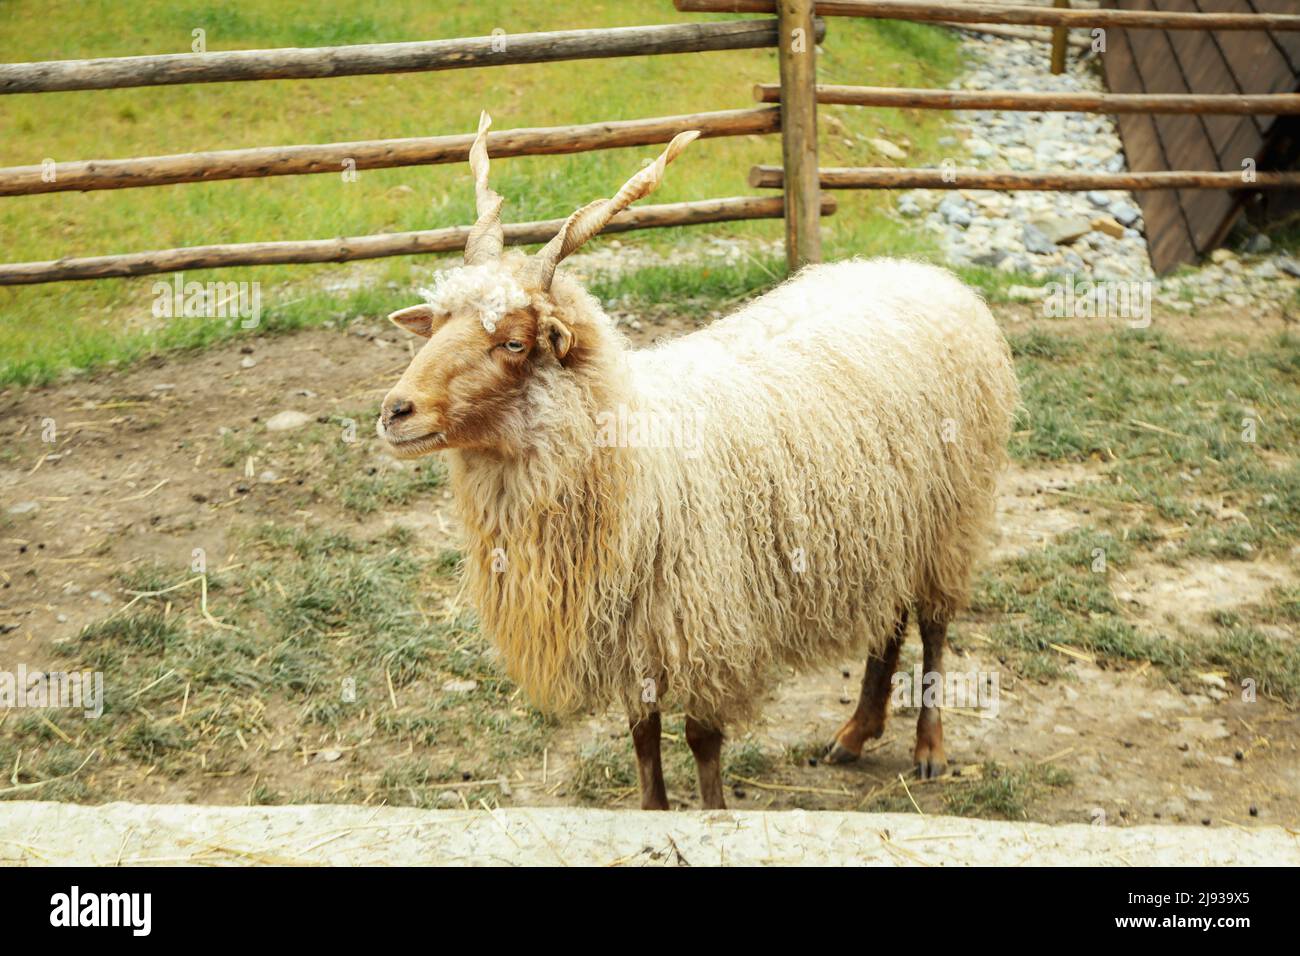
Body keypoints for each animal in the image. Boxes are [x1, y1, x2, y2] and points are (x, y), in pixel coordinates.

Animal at [377, 113, 1013, 816]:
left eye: (514, 342)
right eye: (436, 323)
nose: (395, 411)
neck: (632, 460)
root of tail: (927, 274)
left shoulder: (705, 622)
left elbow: (702, 740)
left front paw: (712, 813)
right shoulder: (633, 638)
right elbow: (643, 740)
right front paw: (654, 815)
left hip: (952, 513)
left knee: (933, 624)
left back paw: (929, 747)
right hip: (890, 523)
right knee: (891, 620)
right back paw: (856, 732)